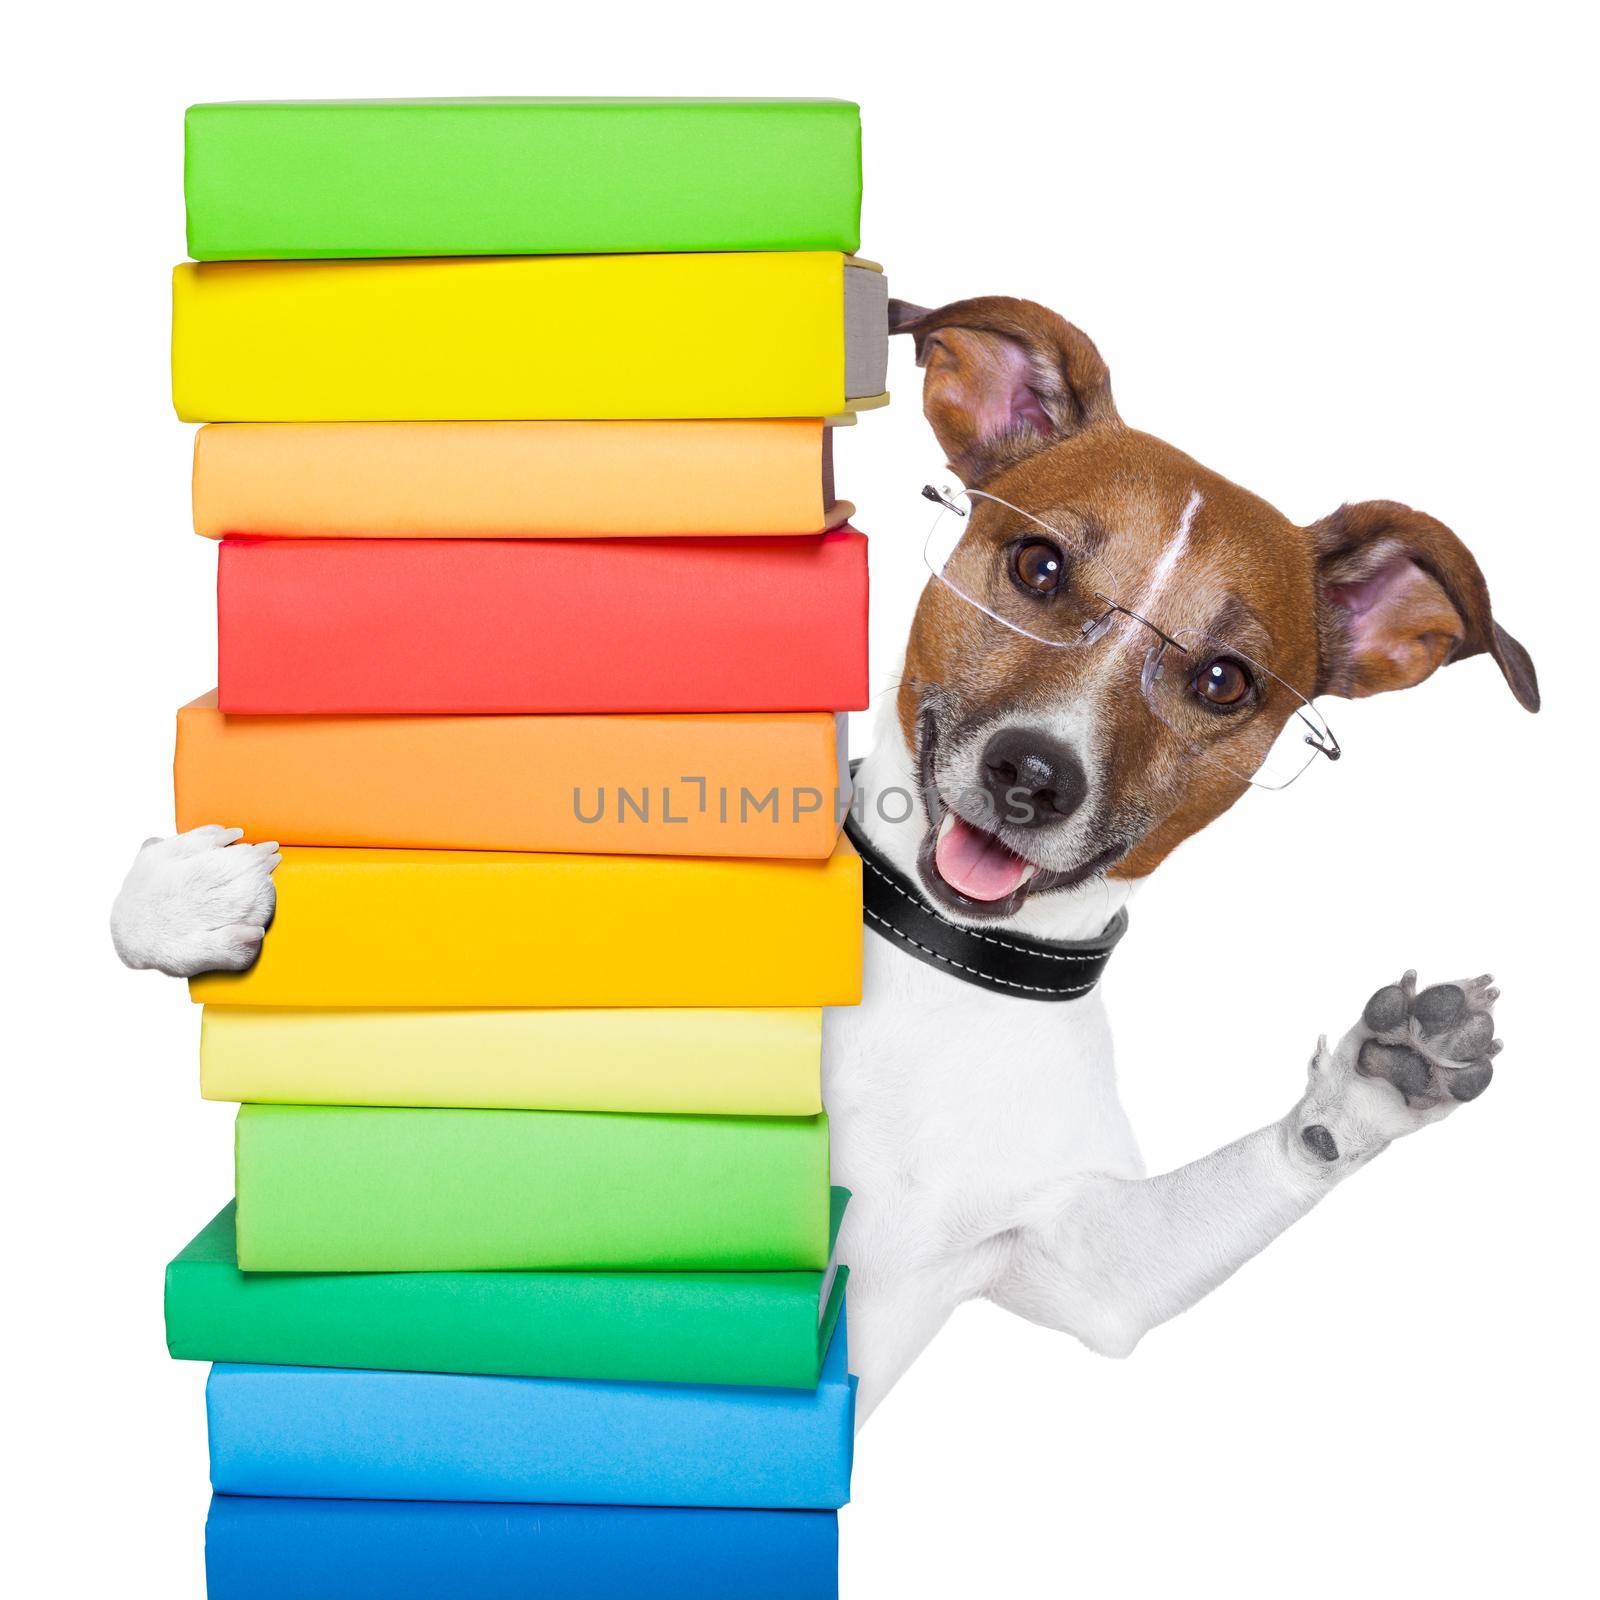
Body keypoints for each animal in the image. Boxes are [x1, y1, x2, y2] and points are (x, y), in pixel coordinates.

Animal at [112, 294, 1536, 1420]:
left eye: (1224, 680)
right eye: (1038, 565)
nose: (1033, 774)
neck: (943, 964)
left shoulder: (1084, 1262)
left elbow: (1263, 1167)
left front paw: (1381, 1080)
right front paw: (183, 900)